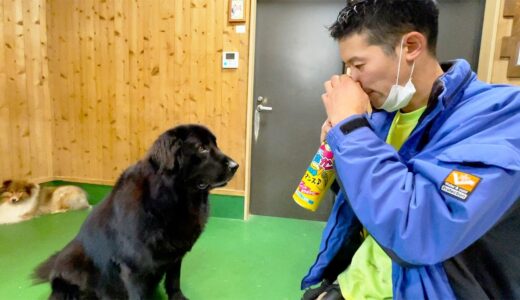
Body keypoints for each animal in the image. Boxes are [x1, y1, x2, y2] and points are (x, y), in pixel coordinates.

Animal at [34, 125, 240, 300]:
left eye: (215, 145)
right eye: (202, 148)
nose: (235, 165)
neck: (171, 198)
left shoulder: (175, 255)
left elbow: (174, 282)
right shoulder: (133, 267)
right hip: (74, 259)